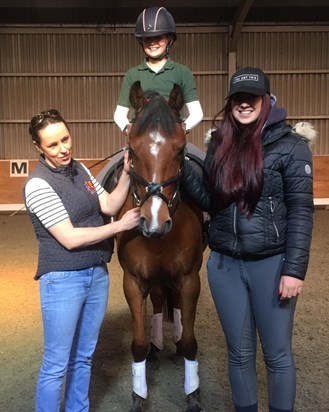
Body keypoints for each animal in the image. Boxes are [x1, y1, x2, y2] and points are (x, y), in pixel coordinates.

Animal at [115, 81, 204, 412]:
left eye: (179, 150)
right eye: (132, 149)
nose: (154, 223)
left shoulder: (190, 279)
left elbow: (191, 341)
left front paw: (193, 395)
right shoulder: (133, 281)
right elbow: (138, 344)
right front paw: (138, 396)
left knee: (173, 303)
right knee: (156, 301)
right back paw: (157, 344)